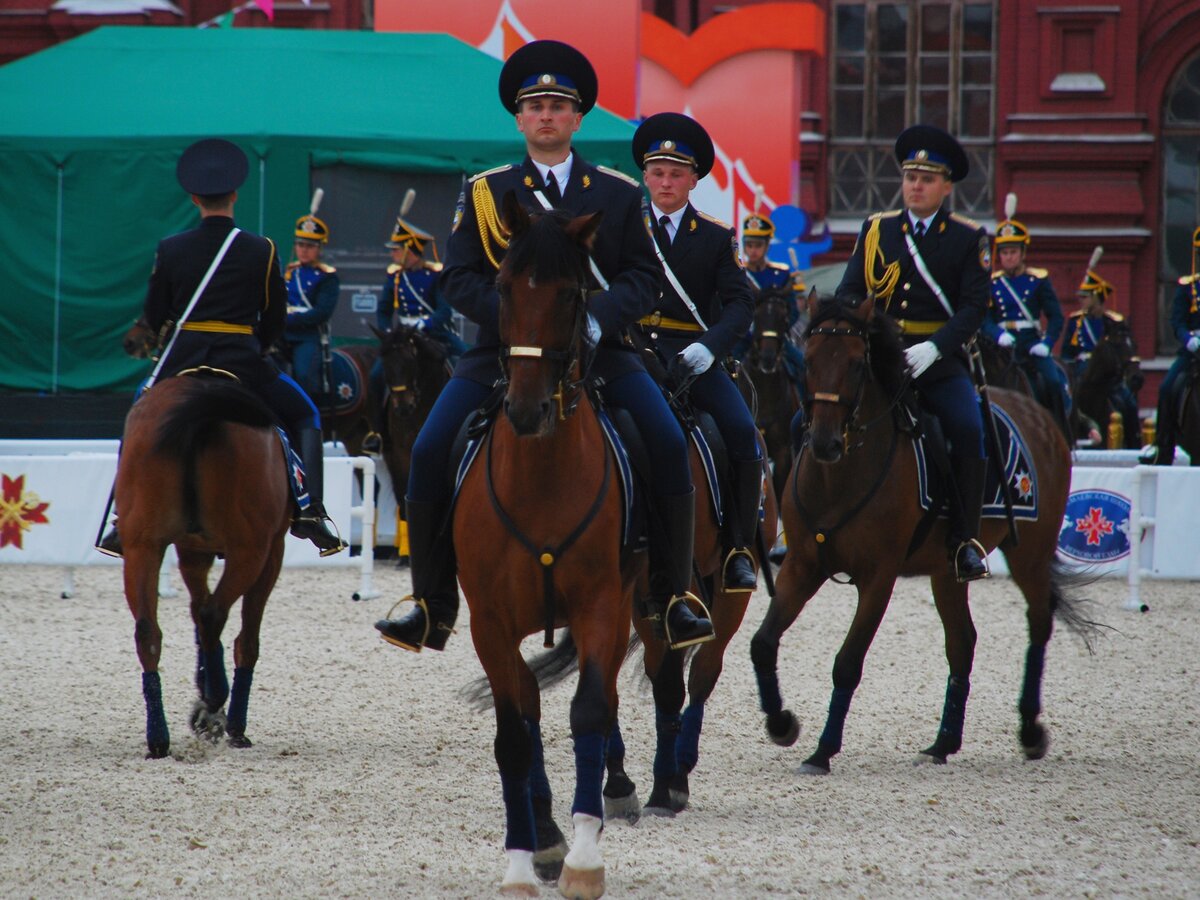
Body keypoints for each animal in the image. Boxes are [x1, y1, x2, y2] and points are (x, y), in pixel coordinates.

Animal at [115, 374, 292, 763]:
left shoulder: (191, 550)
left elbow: (196, 611)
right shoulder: (272, 551)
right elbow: (244, 636)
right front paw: (229, 721)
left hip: (141, 547)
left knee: (149, 631)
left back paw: (159, 737)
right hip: (250, 550)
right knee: (215, 615)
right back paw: (214, 704)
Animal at [451, 194, 628, 897]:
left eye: (572, 294)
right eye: (502, 288)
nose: (527, 412)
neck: (542, 477)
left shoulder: (602, 604)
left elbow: (589, 713)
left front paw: (584, 859)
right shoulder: (490, 622)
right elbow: (514, 737)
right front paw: (524, 861)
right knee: (526, 704)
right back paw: (545, 830)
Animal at [748, 294, 1099, 777]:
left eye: (856, 364)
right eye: (810, 359)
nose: (823, 443)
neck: (839, 477)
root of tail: (1039, 417)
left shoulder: (878, 578)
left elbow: (847, 663)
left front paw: (823, 751)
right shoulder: (802, 565)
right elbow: (763, 643)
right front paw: (782, 724)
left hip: (1029, 554)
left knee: (1039, 623)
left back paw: (1029, 730)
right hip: (946, 571)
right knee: (963, 642)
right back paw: (943, 743)